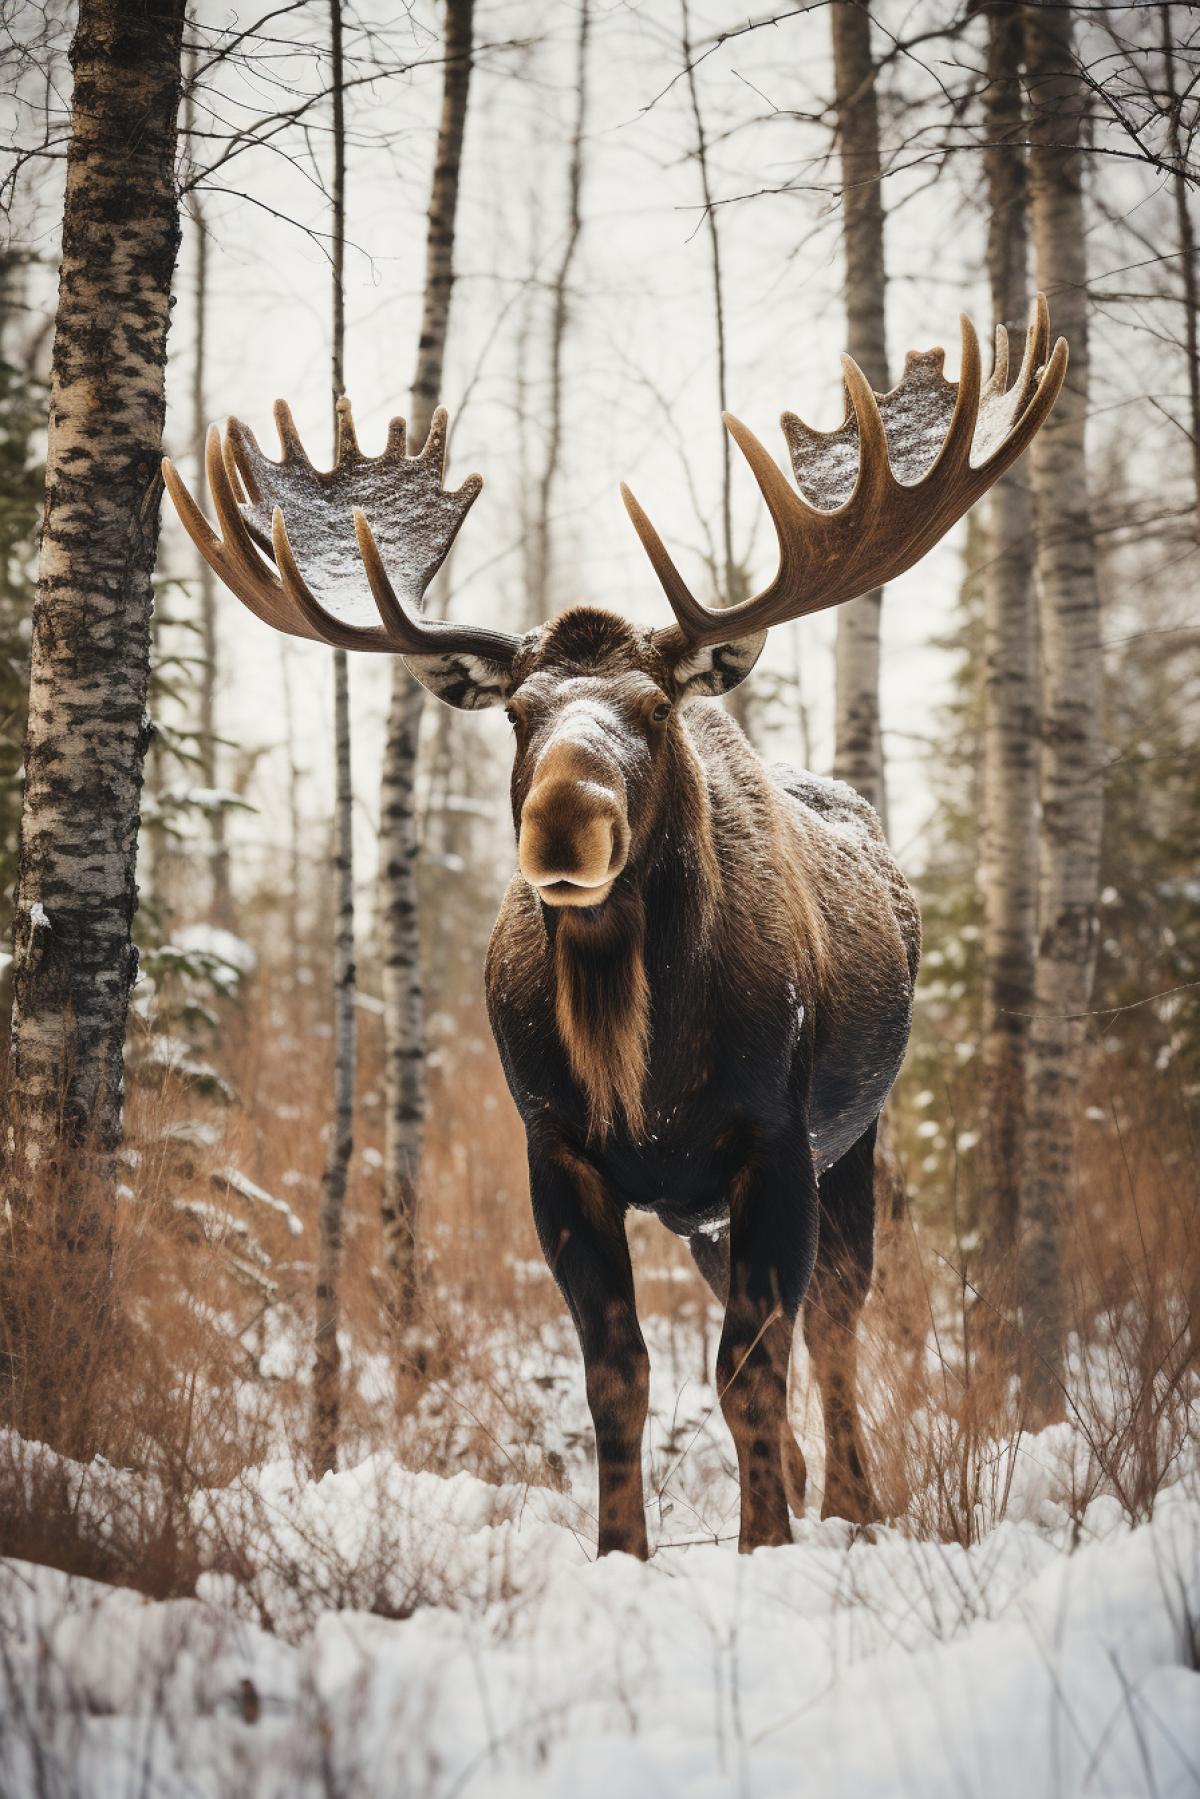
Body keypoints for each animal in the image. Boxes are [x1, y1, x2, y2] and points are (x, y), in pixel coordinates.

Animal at [164, 297, 1065, 1558]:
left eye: (651, 706)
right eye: (518, 713)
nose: (563, 821)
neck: (639, 1047)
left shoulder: (775, 1137)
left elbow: (753, 1360)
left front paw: (767, 1538)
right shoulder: (558, 1147)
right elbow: (619, 1369)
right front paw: (622, 1545)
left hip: (856, 1141)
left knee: (836, 1319)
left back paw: (852, 1496)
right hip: (705, 1206)